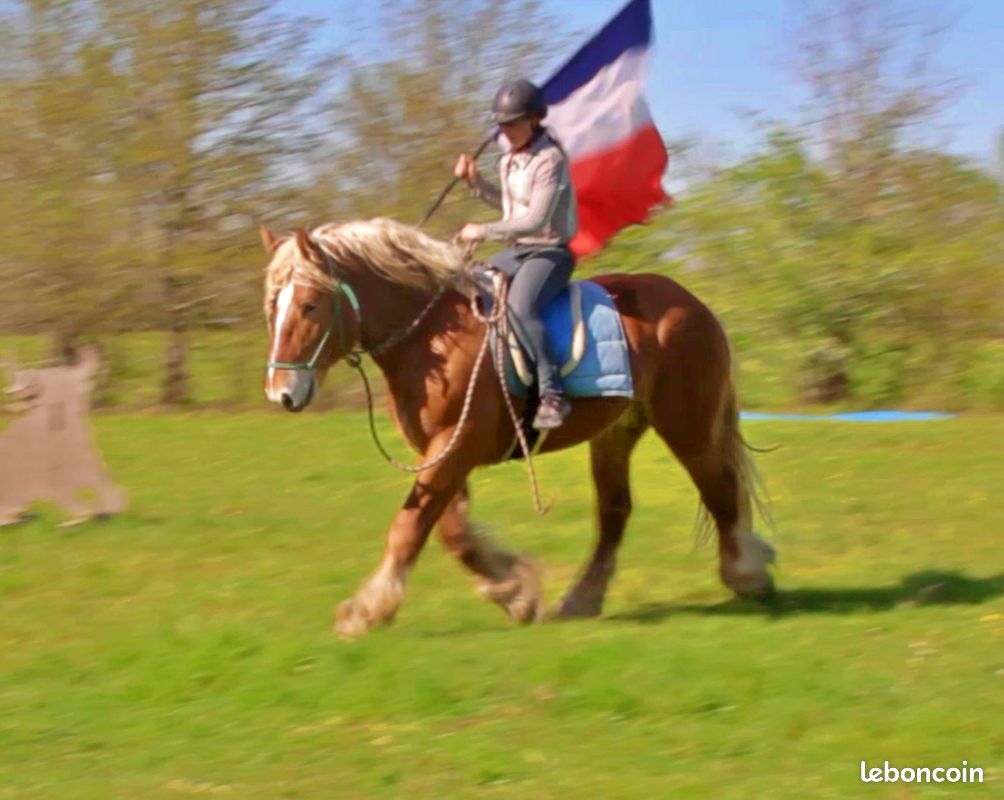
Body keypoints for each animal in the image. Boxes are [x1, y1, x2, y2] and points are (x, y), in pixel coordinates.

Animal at [260, 218, 776, 636]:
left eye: (309, 305)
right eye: (272, 307)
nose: (281, 392)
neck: (432, 335)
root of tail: (691, 302)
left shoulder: (456, 445)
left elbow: (411, 528)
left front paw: (366, 611)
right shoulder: (440, 451)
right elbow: (450, 530)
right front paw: (515, 592)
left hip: (688, 423)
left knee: (719, 489)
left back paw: (747, 574)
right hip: (617, 432)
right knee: (616, 512)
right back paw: (582, 598)